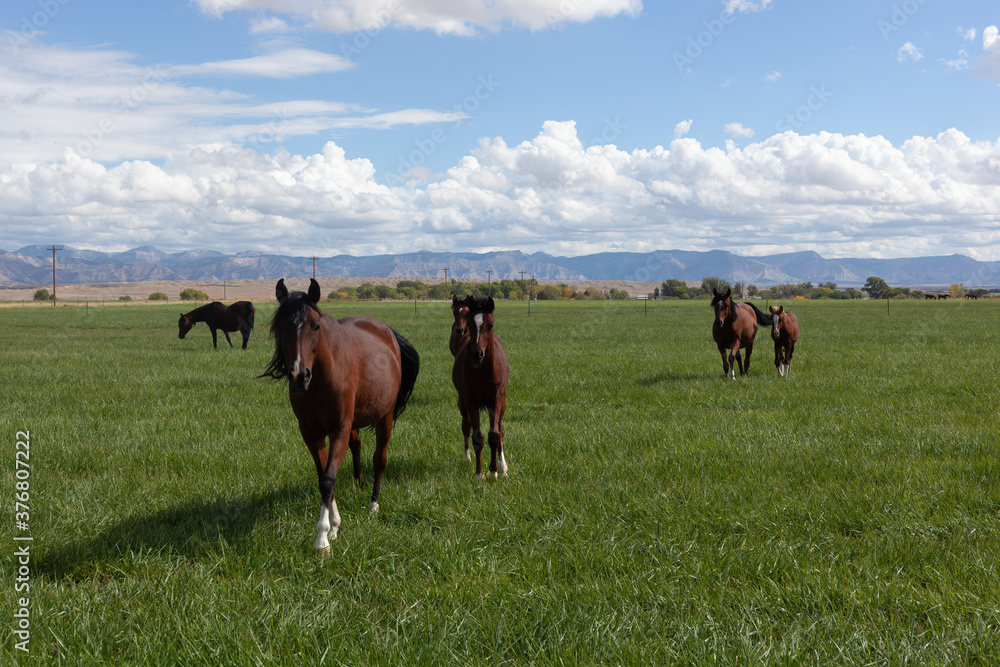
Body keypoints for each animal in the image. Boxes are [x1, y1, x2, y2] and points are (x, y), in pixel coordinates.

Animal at [260, 279, 419, 554]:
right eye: (281, 327)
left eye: (316, 325)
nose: (299, 376)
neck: (320, 380)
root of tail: (386, 331)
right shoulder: (310, 433)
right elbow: (323, 475)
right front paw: (334, 525)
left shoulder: (339, 429)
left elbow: (328, 479)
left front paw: (322, 538)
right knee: (357, 446)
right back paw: (359, 482)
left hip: (385, 417)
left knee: (380, 459)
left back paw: (373, 504)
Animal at [452, 295, 509, 478]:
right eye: (470, 324)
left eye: (490, 324)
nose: (477, 354)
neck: (483, 372)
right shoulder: (470, 400)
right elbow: (477, 436)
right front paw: (479, 474)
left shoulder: (496, 399)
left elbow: (495, 435)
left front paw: (494, 472)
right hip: (463, 401)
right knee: (466, 426)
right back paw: (467, 458)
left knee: (501, 429)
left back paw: (503, 466)